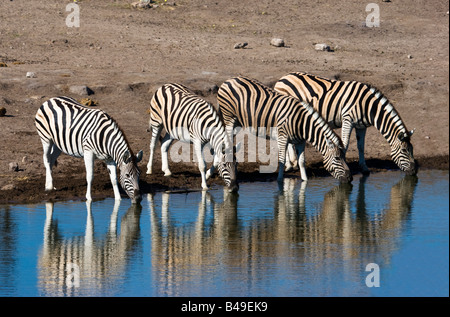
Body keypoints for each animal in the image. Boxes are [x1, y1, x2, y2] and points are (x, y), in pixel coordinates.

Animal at [216, 75, 354, 181]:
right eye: (337, 158)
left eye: (344, 157)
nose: (350, 178)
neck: (301, 123)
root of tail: (229, 80)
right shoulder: (282, 137)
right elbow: (281, 160)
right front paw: (279, 181)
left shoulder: (300, 141)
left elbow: (302, 161)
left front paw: (305, 180)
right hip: (229, 119)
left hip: (238, 123)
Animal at [272, 72, 416, 175]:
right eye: (404, 150)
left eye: (412, 149)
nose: (414, 171)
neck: (369, 107)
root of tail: (283, 78)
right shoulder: (348, 119)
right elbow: (346, 145)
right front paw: (344, 162)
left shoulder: (361, 126)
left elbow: (361, 146)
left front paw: (364, 168)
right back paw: (290, 165)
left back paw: (293, 163)